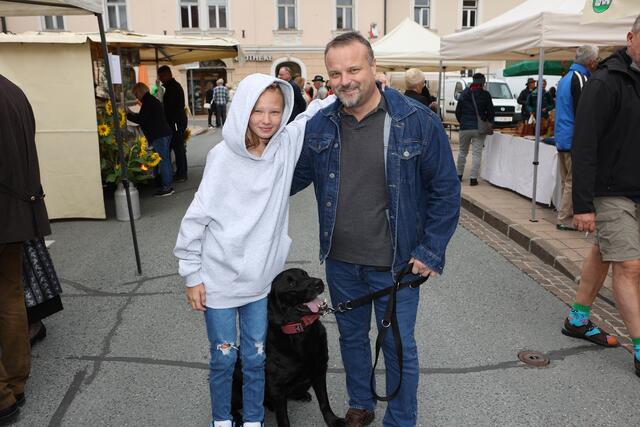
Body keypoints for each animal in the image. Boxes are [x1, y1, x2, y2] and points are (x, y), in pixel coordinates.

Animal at [231, 268, 344, 427]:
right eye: (291, 283)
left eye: (305, 274)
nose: (319, 282)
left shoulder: (319, 371)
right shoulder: (277, 388)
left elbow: (324, 403)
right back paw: (239, 418)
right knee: (231, 405)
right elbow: (283, 419)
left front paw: (333, 421)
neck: (300, 330)